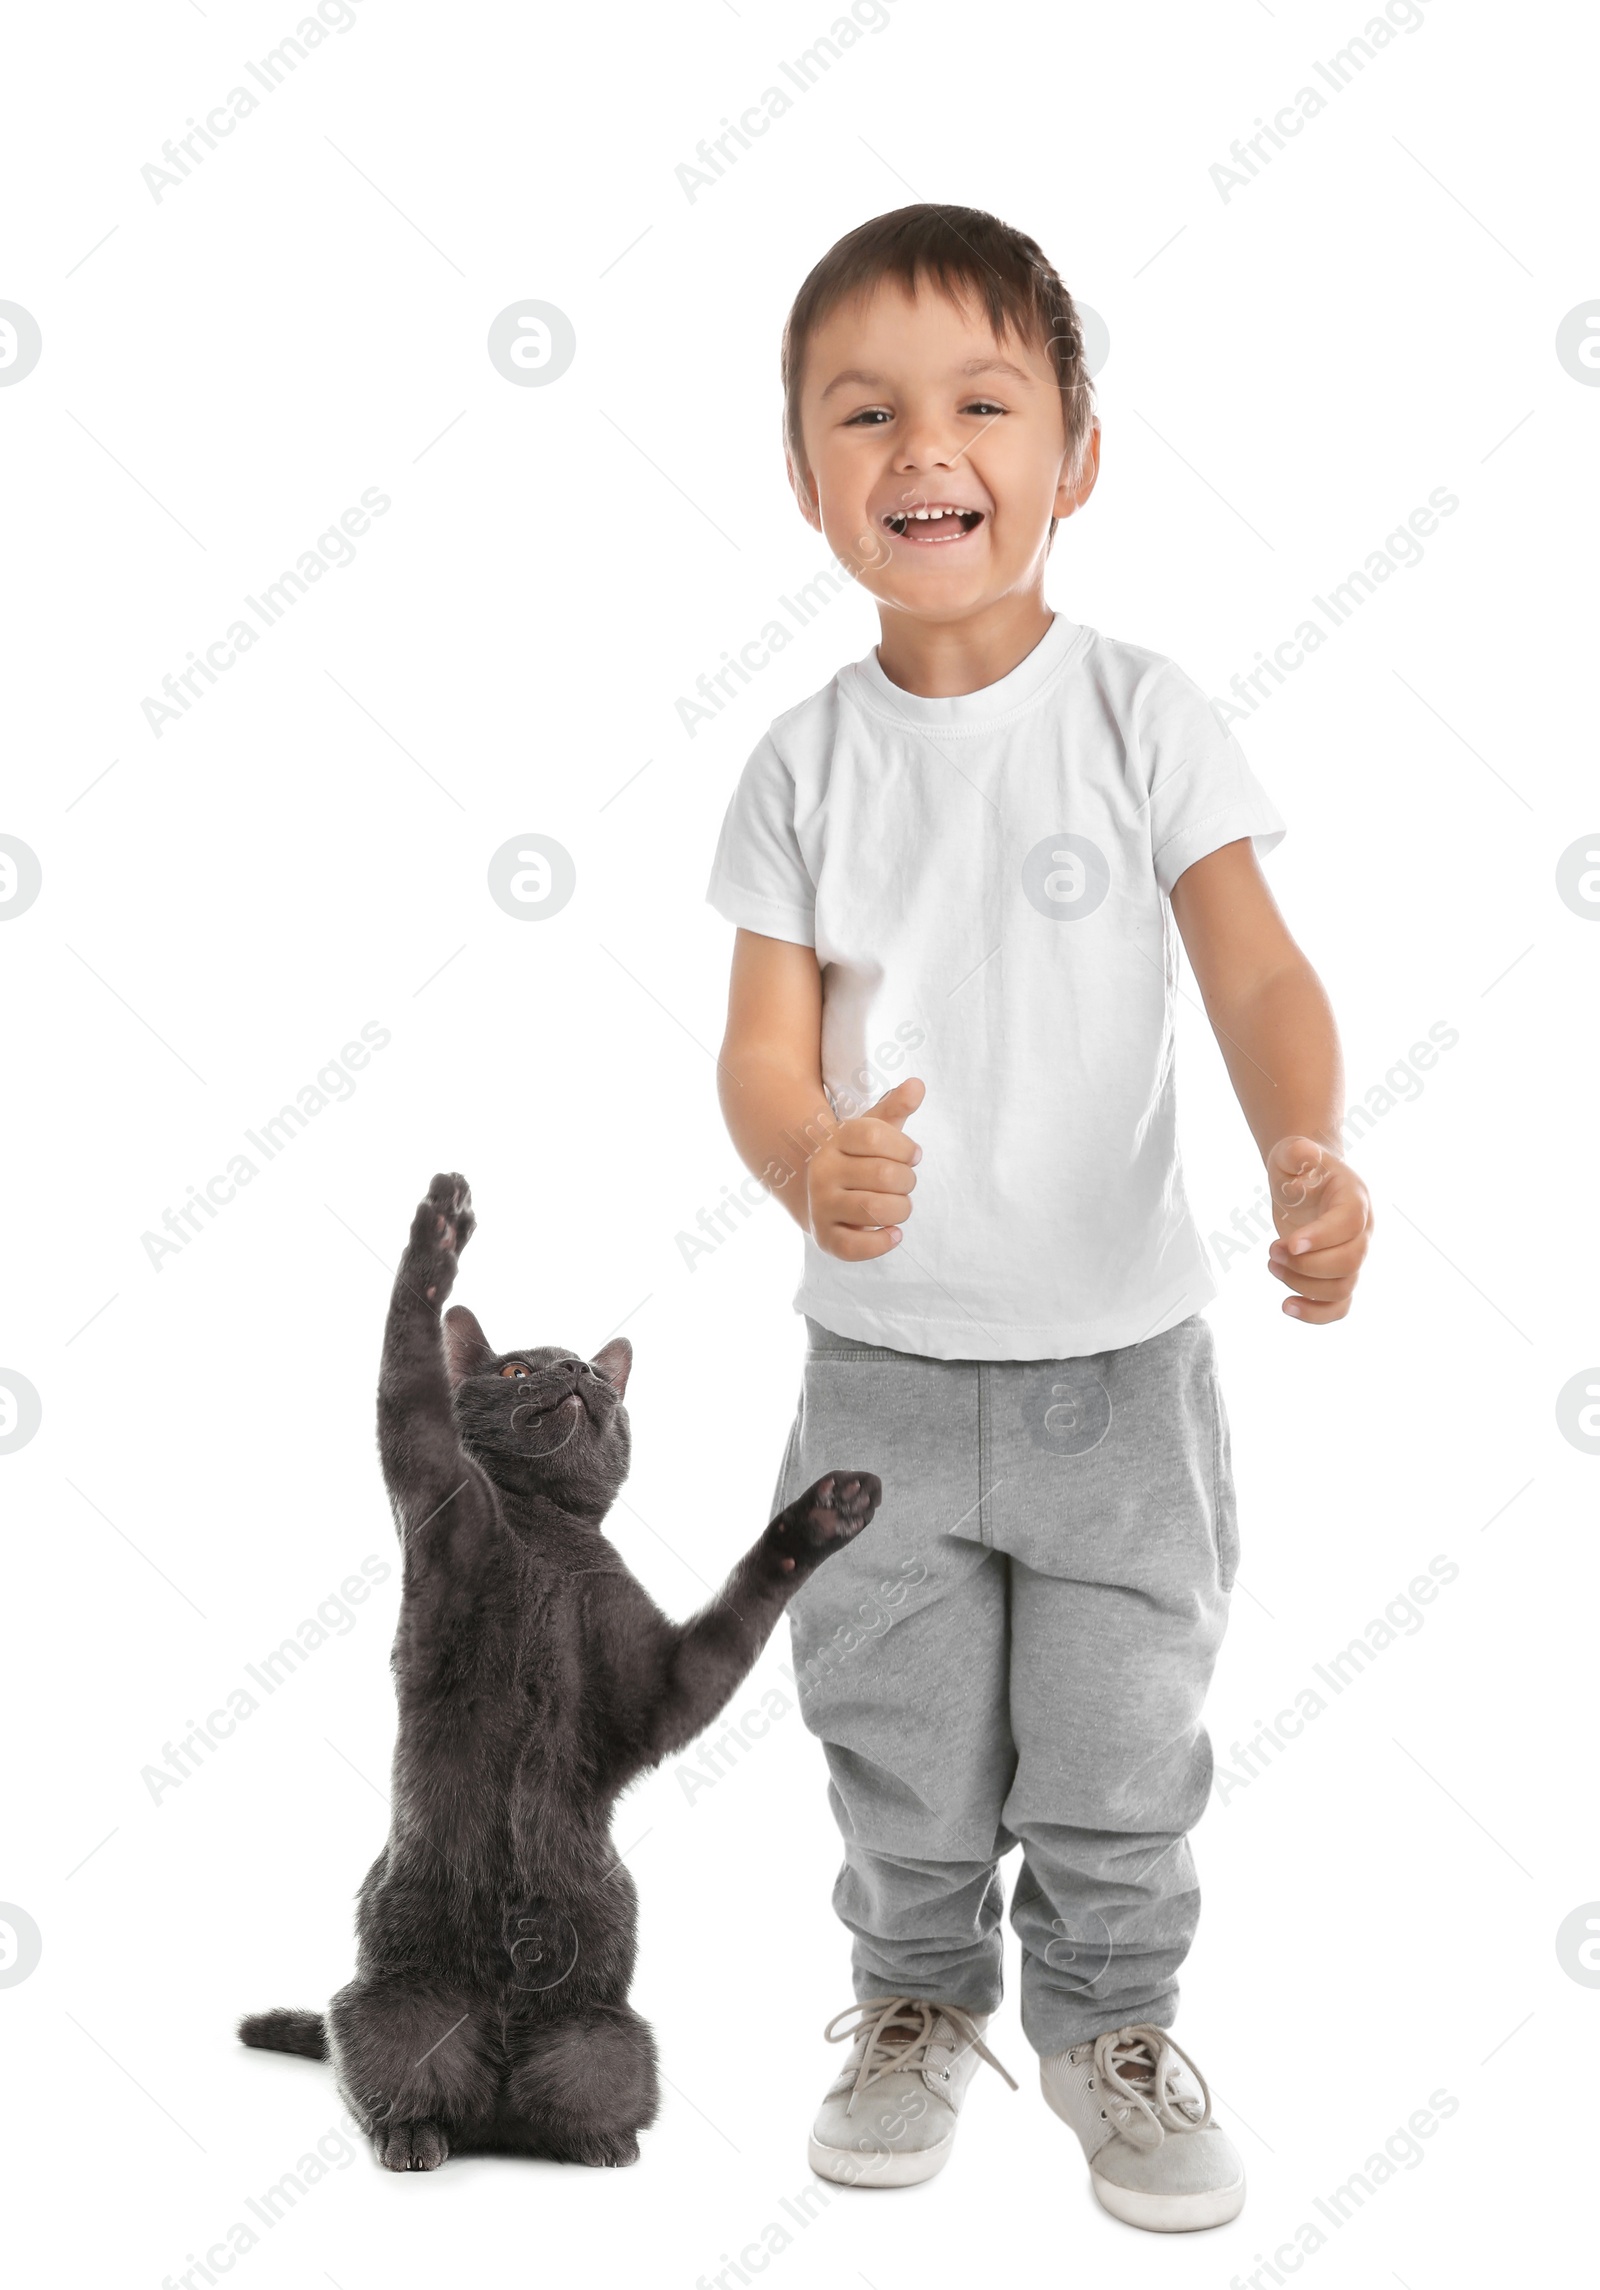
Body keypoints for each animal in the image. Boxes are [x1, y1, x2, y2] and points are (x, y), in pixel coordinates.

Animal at [243, 1181, 883, 2161]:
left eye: (594, 1372)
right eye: (515, 1372)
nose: (579, 1369)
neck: (547, 1531)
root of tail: (498, 2081)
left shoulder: (663, 1683)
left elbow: (743, 1600)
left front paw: (824, 1514)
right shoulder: (434, 1486)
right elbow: (407, 1378)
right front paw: (438, 1232)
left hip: (608, 2037)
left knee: (563, 2098)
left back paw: (597, 2146)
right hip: (392, 2008)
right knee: (388, 2084)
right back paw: (415, 2138)